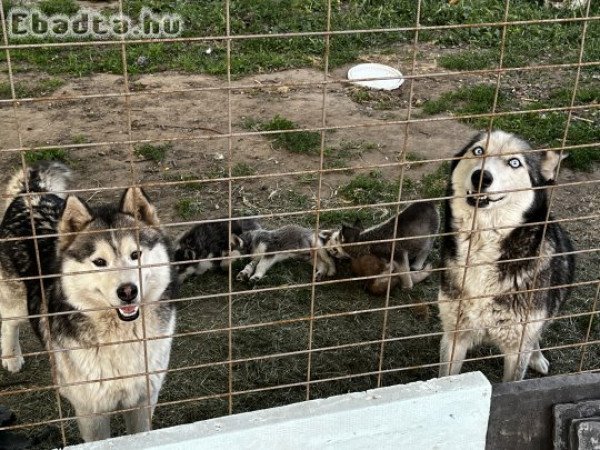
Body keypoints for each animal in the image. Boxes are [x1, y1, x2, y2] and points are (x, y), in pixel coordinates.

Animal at [0, 163, 177, 442]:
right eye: (99, 262)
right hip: (16, 303)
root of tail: (31, 194)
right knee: (8, 323)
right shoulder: (91, 411)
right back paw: (11, 357)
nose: (128, 291)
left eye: (135, 254)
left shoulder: (144, 398)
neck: (121, 337)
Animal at [438, 131, 576, 384]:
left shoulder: (517, 348)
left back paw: (537, 357)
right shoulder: (454, 336)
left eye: (514, 162)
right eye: (478, 150)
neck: (483, 246)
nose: (481, 176)